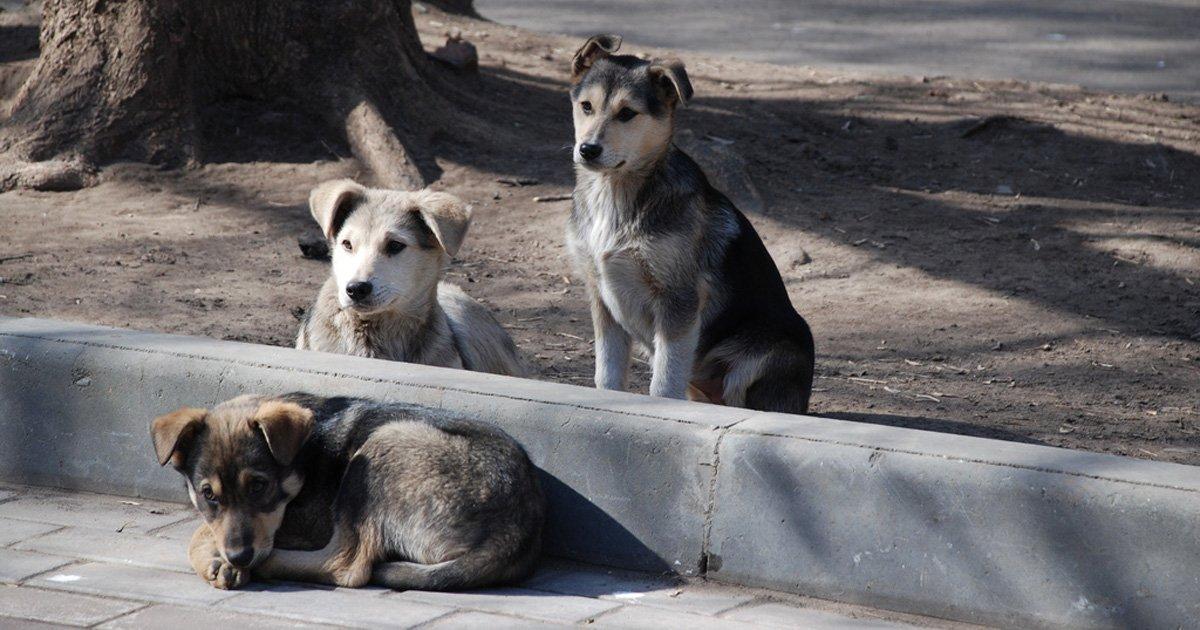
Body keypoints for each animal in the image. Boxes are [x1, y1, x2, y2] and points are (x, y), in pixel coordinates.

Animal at [152, 393, 547, 590]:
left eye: (260, 486)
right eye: (209, 495)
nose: (239, 557)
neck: (304, 456)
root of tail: (515, 533)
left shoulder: (305, 523)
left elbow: (200, 533)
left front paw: (217, 560)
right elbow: (207, 527)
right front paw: (219, 559)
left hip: (383, 445)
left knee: (348, 565)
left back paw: (267, 566)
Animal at [564, 36, 816, 415]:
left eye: (627, 114)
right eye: (586, 106)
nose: (588, 149)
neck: (616, 193)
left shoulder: (678, 300)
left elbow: (665, 381)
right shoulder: (601, 298)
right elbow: (606, 375)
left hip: (764, 353)